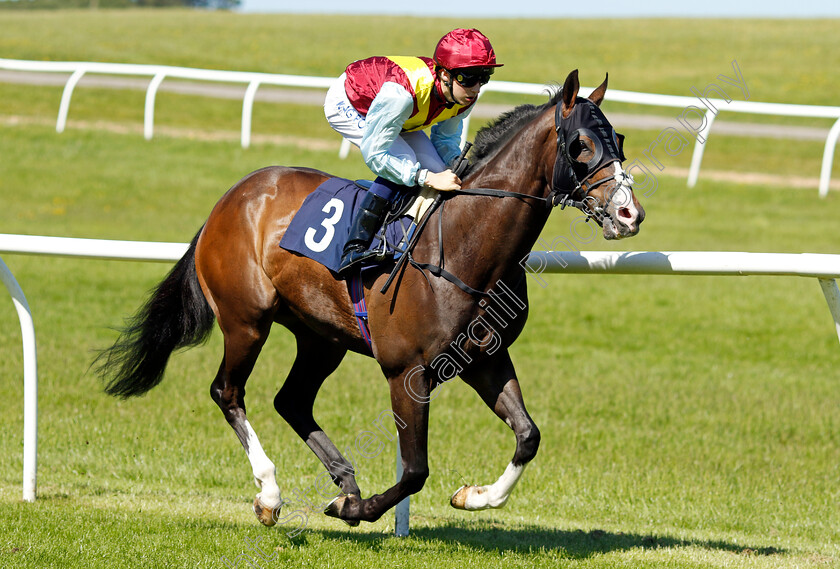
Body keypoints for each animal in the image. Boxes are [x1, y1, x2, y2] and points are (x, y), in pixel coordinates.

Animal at [95, 71, 644, 528]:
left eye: (618, 140)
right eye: (581, 145)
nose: (629, 213)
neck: (465, 246)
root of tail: (231, 197)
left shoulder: (483, 356)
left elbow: (528, 435)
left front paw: (474, 496)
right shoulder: (407, 371)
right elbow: (416, 470)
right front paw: (354, 509)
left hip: (322, 336)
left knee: (291, 399)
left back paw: (344, 479)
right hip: (246, 320)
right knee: (227, 392)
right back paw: (271, 495)